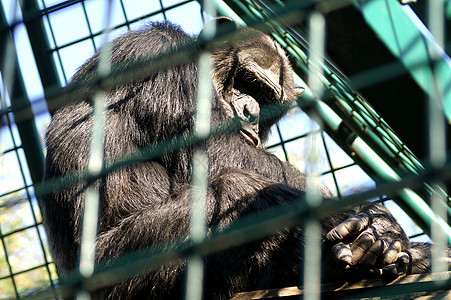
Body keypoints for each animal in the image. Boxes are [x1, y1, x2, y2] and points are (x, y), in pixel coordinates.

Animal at [42, 19, 434, 300]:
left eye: (269, 100)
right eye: (248, 82)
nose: (253, 113)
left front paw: (379, 227)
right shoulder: (163, 60)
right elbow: (219, 155)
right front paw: (377, 221)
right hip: (128, 274)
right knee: (237, 190)